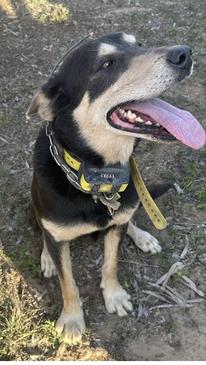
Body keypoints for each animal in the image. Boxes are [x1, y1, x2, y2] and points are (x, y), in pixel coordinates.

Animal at [27, 32, 204, 344]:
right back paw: (47, 257)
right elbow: (67, 281)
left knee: (129, 215)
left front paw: (114, 296)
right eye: (107, 64)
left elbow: (110, 263)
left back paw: (142, 235)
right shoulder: (56, 232)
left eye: (139, 44)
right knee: (45, 233)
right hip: (33, 204)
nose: (185, 54)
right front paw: (72, 319)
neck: (98, 177)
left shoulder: (117, 223)